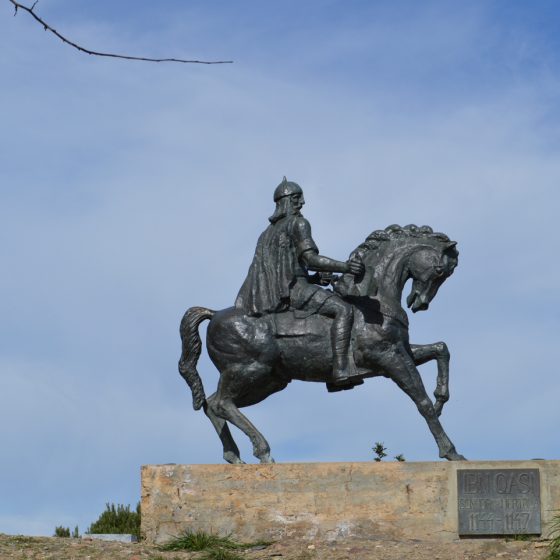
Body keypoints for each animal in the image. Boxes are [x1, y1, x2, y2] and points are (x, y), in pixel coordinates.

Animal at [182, 223, 466, 464]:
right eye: (441, 270)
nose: (420, 303)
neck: (373, 302)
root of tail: (214, 314)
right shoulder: (388, 357)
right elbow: (421, 401)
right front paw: (451, 451)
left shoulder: (398, 353)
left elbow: (441, 349)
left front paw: (441, 399)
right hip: (250, 370)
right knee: (221, 404)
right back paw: (263, 451)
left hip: (268, 381)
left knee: (213, 404)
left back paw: (235, 457)